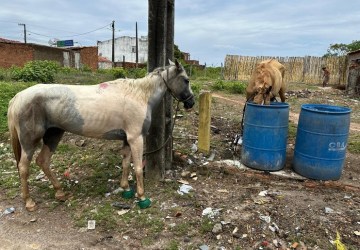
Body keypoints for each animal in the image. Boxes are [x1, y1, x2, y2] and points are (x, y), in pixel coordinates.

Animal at [7, 58, 194, 211]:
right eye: (186, 80)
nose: (191, 102)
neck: (140, 95)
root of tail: (18, 97)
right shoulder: (136, 138)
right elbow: (138, 167)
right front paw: (142, 197)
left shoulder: (127, 139)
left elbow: (126, 163)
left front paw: (125, 189)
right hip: (30, 142)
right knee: (23, 167)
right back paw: (29, 201)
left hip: (54, 135)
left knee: (43, 161)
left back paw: (60, 192)